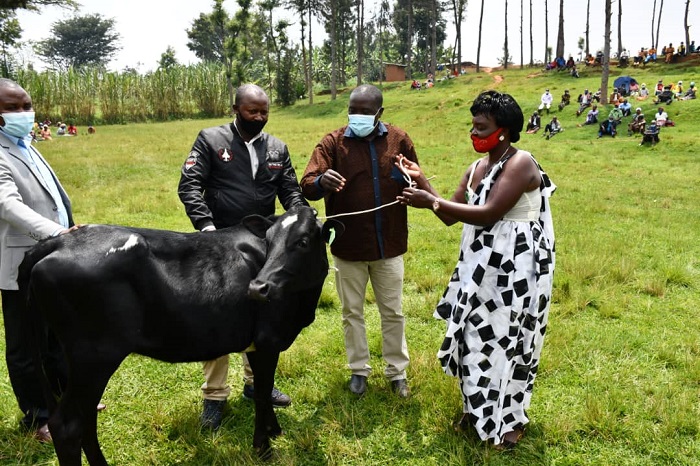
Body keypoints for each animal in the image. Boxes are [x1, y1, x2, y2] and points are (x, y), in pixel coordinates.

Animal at [17, 206, 340, 464]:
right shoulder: (267, 339)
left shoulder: (260, 343)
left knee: (86, 417)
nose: (258, 287)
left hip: (77, 360)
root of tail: (57, 241)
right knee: (68, 425)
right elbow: (261, 393)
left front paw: (274, 430)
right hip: (93, 357)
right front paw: (264, 448)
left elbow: (265, 387)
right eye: (269, 241)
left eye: (302, 241)